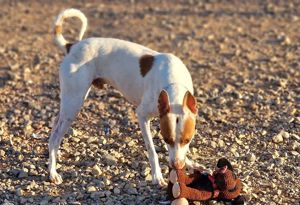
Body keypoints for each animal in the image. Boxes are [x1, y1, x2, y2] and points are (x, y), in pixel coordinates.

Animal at [49, 8, 198, 187]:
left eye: (187, 140)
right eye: (166, 139)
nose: (176, 166)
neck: (174, 84)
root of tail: (72, 47)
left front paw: (188, 162)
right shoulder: (141, 115)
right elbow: (152, 150)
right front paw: (157, 176)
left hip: (69, 102)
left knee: (54, 129)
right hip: (74, 103)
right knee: (55, 137)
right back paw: (52, 172)